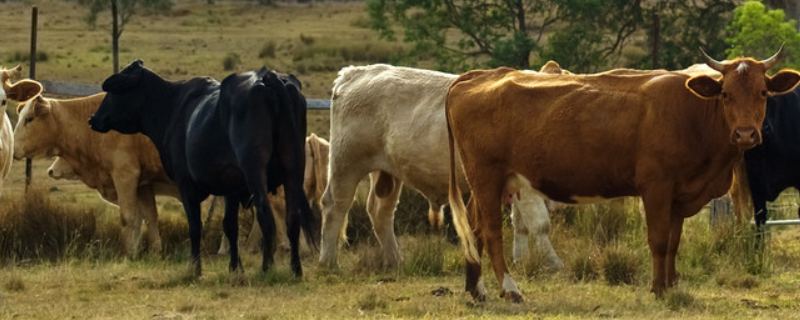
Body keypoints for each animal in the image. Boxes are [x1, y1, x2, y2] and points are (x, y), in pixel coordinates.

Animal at [11, 81, 177, 256]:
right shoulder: (143, 184)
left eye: (29, 119)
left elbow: (128, 217)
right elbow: (148, 217)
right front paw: (152, 253)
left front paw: (129, 255)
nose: (12, 149)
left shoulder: (125, 175)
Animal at [87, 60, 312, 278]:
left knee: (265, 215)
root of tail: (268, 77)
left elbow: (195, 225)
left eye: (114, 92)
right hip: (294, 168)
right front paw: (235, 268)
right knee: (293, 218)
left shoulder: (186, 183)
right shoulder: (232, 186)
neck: (172, 108)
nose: (92, 118)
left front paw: (194, 268)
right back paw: (296, 269)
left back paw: (267, 267)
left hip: (255, 170)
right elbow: (230, 226)